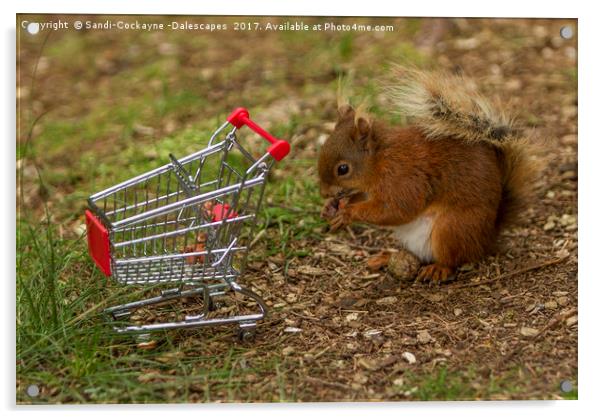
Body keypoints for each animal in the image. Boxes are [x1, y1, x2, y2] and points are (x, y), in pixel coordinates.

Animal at [318, 68, 540, 286]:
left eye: (343, 169)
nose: (323, 193)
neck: (380, 160)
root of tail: (488, 237)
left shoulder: (404, 178)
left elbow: (396, 210)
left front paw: (347, 213)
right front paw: (330, 208)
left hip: (451, 229)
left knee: (454, 259)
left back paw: (438, 269)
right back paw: (385, 257)